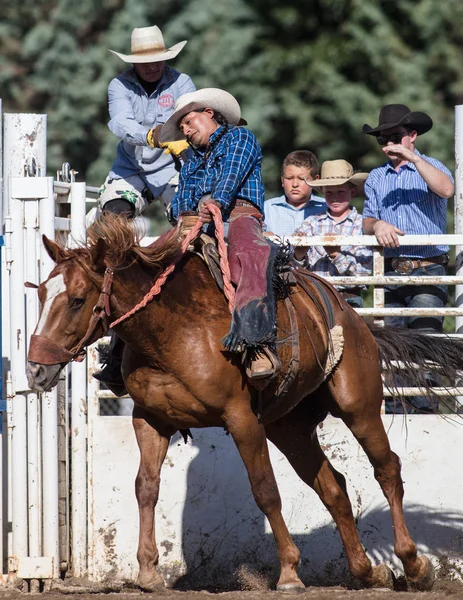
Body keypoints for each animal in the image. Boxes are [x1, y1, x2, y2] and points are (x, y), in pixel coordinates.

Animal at [26, 216, 463, 592]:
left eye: (78, 299)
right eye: (42, 294)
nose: (35, 369)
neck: (170, 333)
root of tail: (355, 318)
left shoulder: (241, 419)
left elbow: (265, 489)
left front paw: (289, 572)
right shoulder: (149, 419)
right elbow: (145, 487)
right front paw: (148, 572)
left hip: (359, 406)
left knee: (387, 469)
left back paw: (415, 564)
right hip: (289, 427)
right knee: (333, 487)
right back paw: (368, 571)